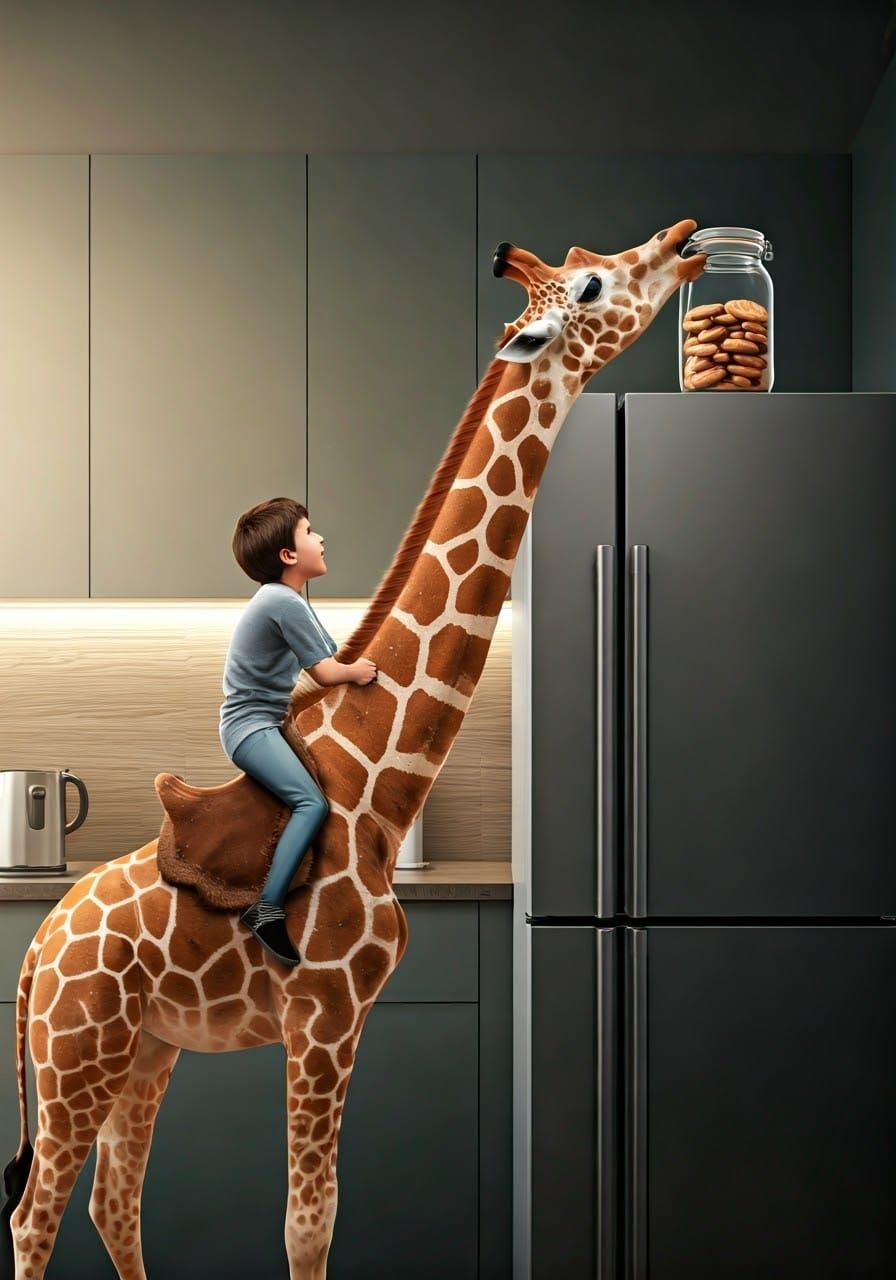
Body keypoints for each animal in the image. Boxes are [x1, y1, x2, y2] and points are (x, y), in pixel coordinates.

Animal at [0, 219, 706, 1280]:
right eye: (587, 286)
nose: (684, 239)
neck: (380, 790)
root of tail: (38, 949)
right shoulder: (325, 1014)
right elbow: (309, 1220)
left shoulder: (334, 1020)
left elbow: (303, 1216)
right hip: (75, 1054)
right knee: (34, 1216)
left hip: (148, 1046)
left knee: (113, 1202)